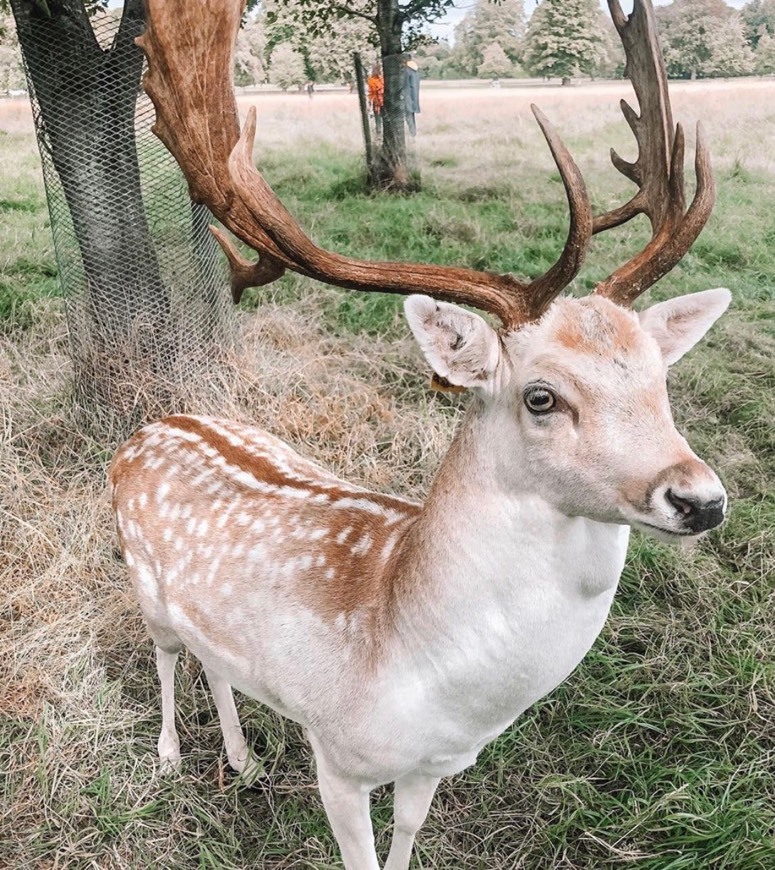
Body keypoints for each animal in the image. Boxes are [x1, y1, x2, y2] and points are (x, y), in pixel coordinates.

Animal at [110, 1, 732, 870]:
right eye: (541, 397)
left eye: (658, 378)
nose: (699, 498)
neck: (424, 677)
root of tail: (148, 427)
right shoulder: (337, 755)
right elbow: (359, 852)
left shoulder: (433, 766)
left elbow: (406, 837)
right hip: (142, 582)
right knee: (167, 656)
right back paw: (172, 757)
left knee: (214, 660)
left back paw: (242, 759)